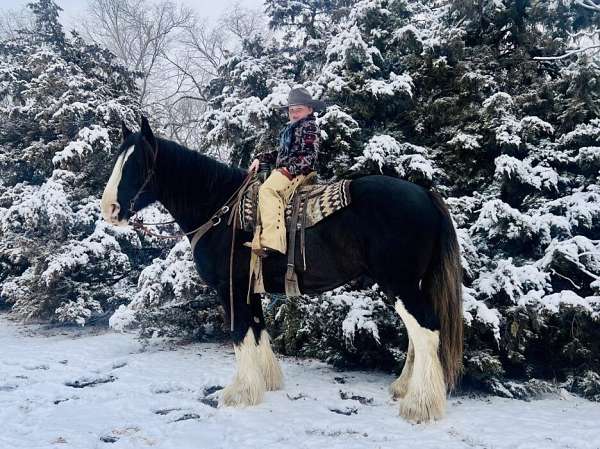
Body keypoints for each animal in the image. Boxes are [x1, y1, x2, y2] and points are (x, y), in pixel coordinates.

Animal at [101, 117, 464, 422]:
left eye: (136, 164)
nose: (110, 209)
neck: (221, 209)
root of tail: (424, 193)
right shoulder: (250, 287)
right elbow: (258, 329)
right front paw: (268, 382)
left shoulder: (230, 287)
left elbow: (240, 332)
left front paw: (240, 393)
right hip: (408, 284)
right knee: (416, 332)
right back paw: (404, 388)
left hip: (400, 283)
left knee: (426, 331)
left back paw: (420, 404)